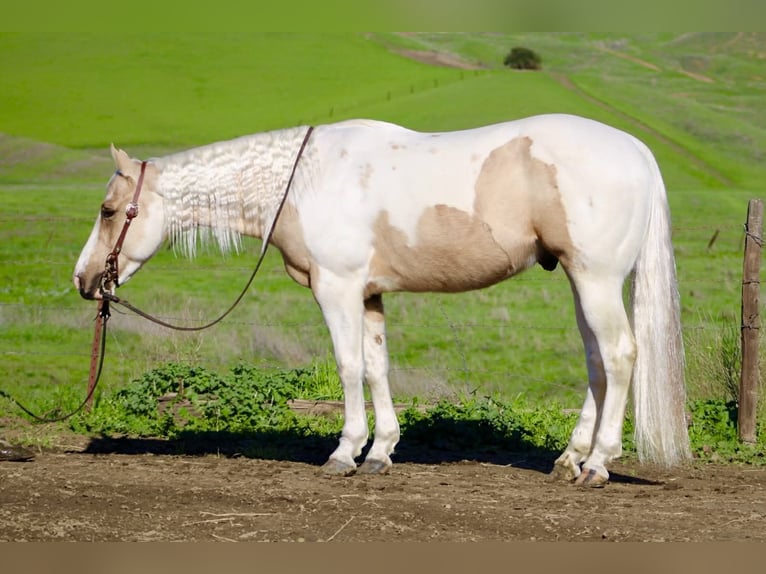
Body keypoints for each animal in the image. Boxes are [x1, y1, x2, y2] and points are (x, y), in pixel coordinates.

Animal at [74, 114, 691, 486]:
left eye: (108, 211)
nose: (84, 280)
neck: (304, 182)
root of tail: (636, 151)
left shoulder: (338, 289)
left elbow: (348, 367)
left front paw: (344, 453)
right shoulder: (368, 296)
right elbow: (376, 367)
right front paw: (381, 451)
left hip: (596, 280)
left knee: (620, 356)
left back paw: (599, 464)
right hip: (583, 281)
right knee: (596, 361)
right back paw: (570, 459)